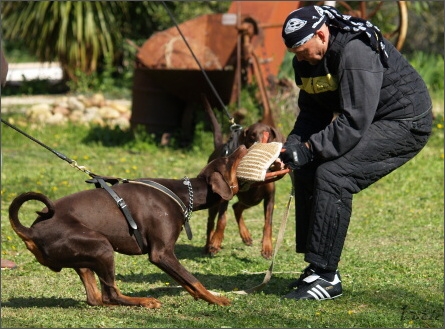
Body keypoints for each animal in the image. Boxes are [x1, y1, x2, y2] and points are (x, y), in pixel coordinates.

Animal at [8, 144, 248, 308]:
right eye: (227, 159)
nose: (243, 145)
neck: (182, 193)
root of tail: (30, 230)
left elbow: (189, 283)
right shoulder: (162, 253)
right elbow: (193, 280)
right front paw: (216, 299)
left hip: (84, 254)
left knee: (96, 297)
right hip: (102, 246)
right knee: (110, 295)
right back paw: (144, 301)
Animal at [204, 103, 284, 258]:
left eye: (268, 135)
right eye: (252, 136)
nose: (259, 145)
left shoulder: (269, 197)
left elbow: (268, 223)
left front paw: (267, 248)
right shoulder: (225, 195)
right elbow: (222, 219)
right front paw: (216, 242)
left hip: (253, 200)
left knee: (237, 207)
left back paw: (246, 236)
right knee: (211, 220)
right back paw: (208, 245)